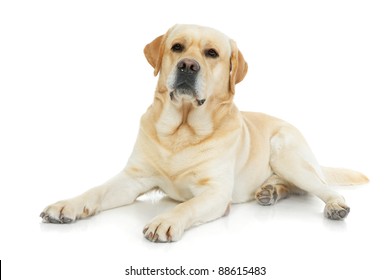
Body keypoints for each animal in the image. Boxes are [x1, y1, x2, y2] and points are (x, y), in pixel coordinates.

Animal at [41, 24, 368, 242]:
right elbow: (95, 190)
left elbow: (188, 204)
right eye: (177, 47)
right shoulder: (132, 179)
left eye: (212, 53)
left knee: (320, 187)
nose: (188, 65)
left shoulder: (215, 192)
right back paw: (270, 191)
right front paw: (66, 205)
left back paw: (334, 205)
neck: (181, 131)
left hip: (287, 155)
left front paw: (165, 220)